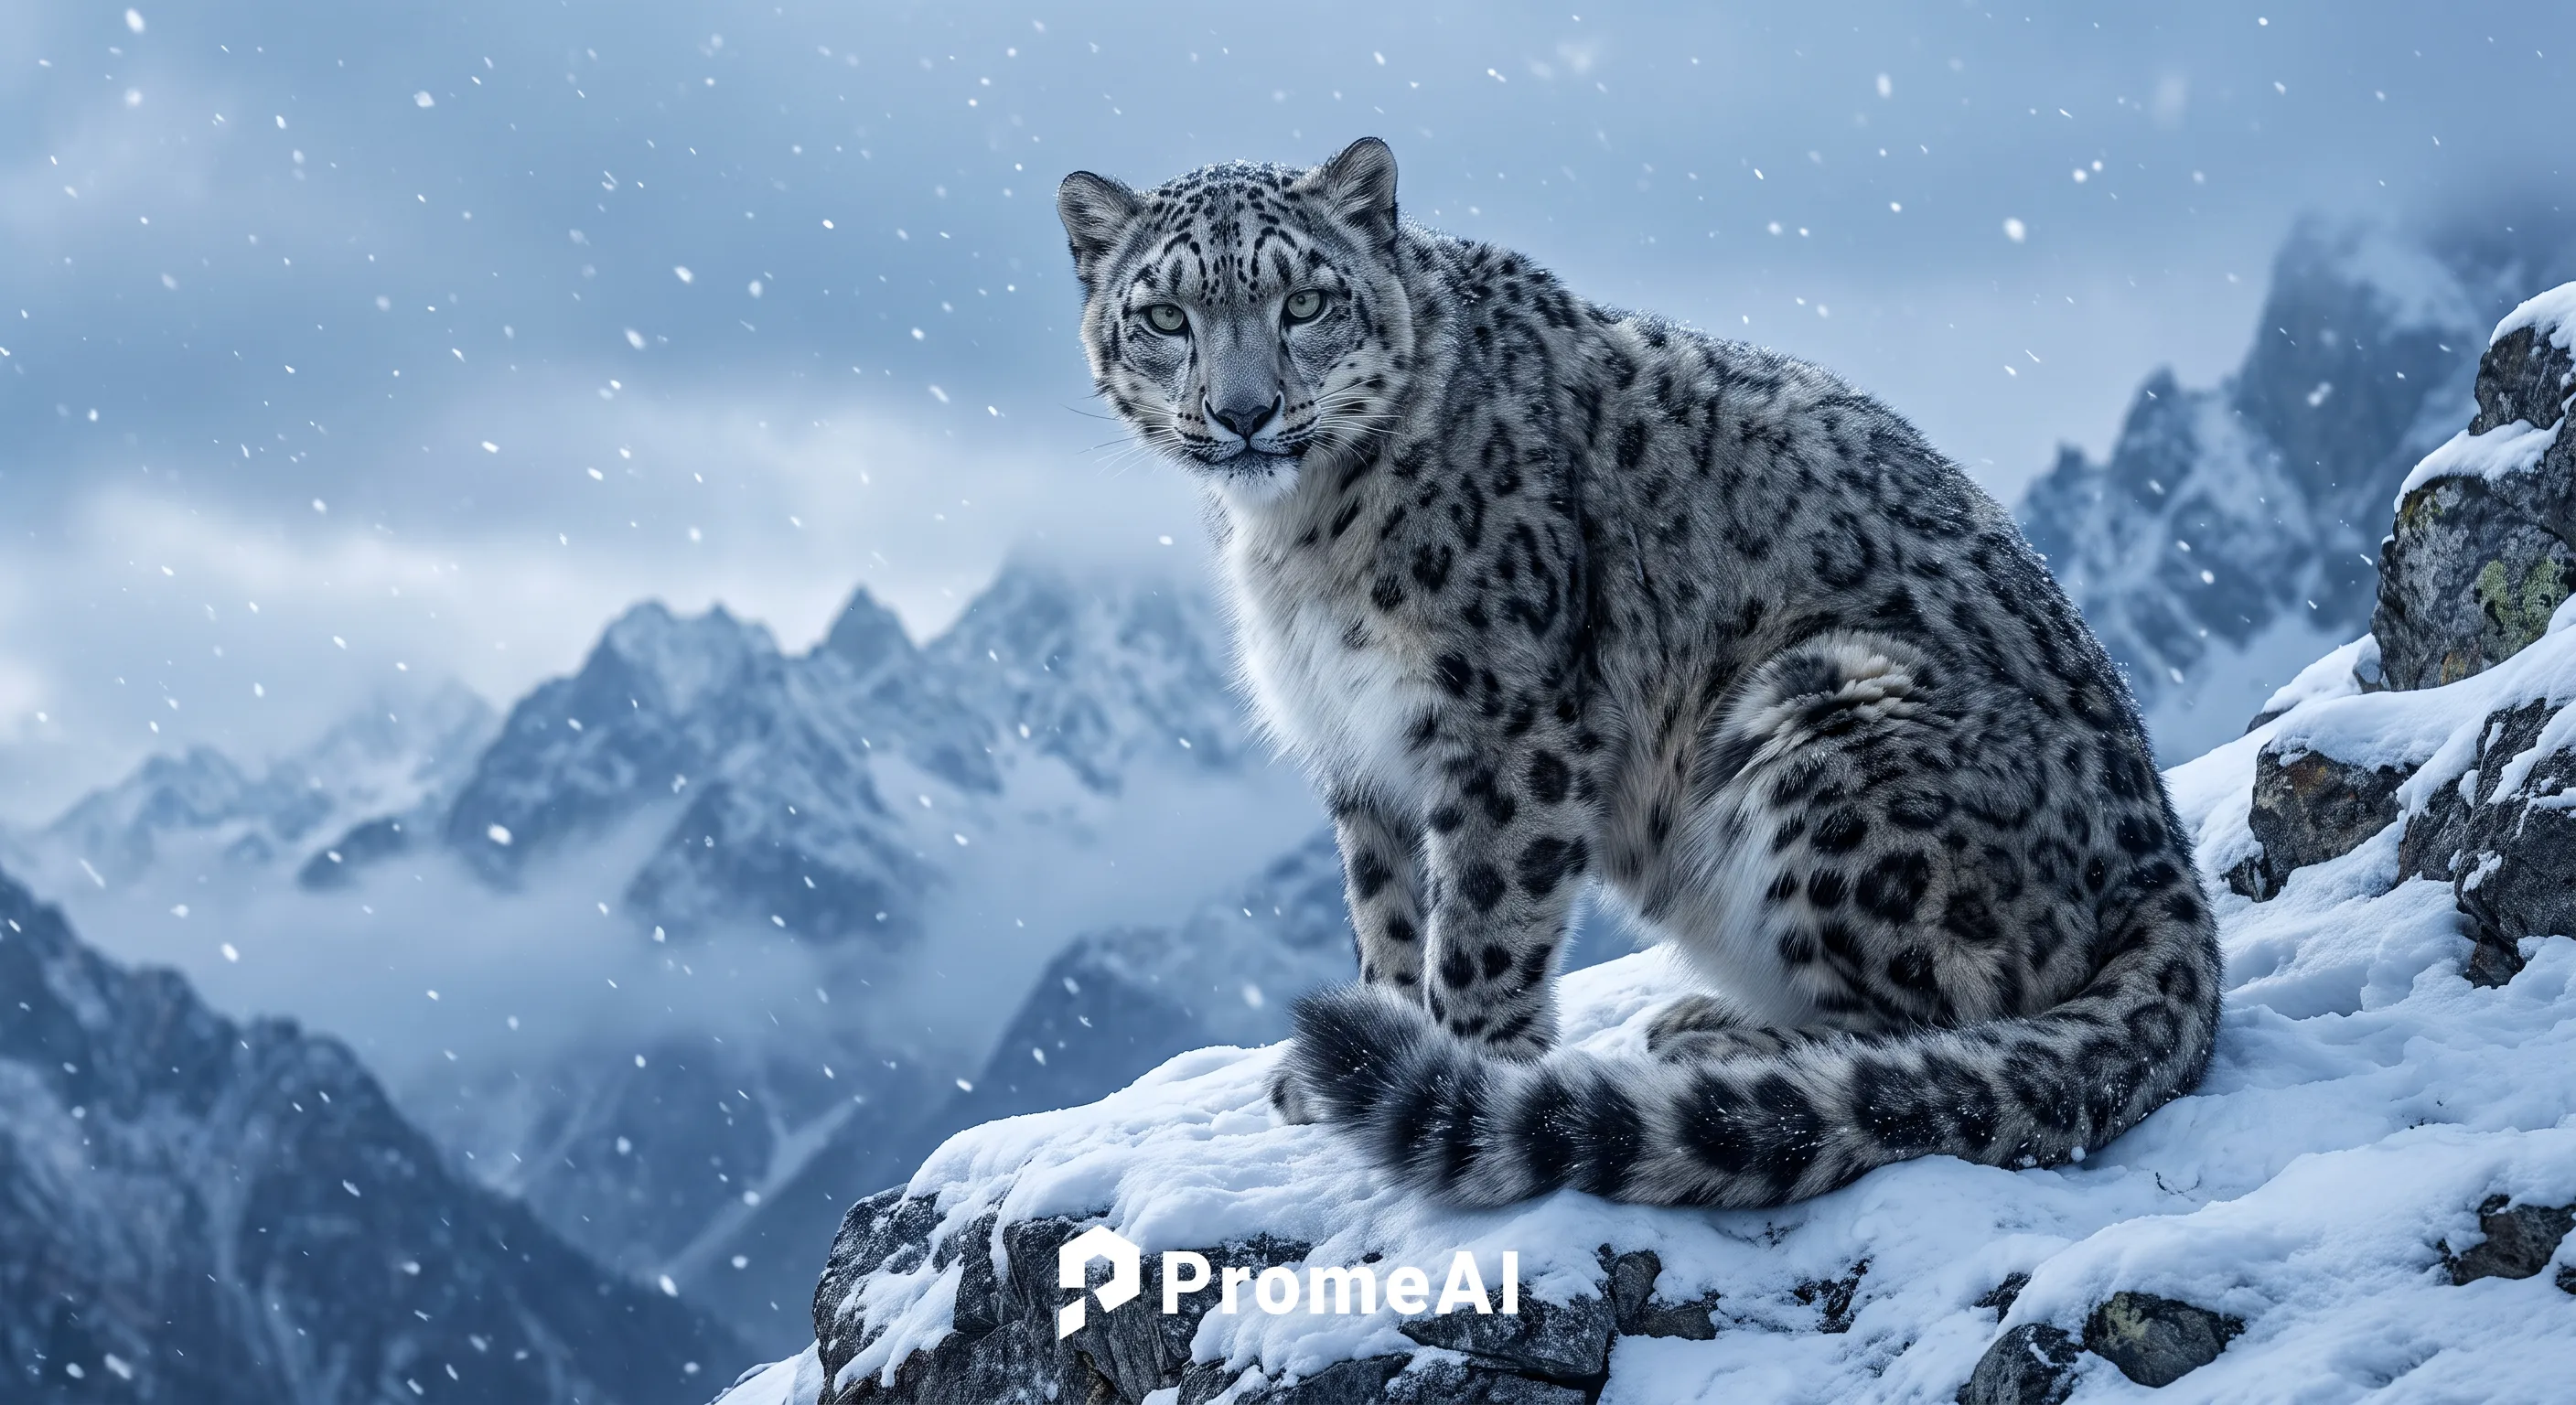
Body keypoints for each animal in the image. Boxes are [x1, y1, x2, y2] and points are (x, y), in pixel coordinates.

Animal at [1054, 137, 2222, 1207]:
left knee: (1953, 1016)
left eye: (1302, 302)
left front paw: (1464, 1075)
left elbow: (1481, 923)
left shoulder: (1504, 723)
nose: (1243, 412)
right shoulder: (1354, 744)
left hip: (1820, 702)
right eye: (1166, 317)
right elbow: (1383, 911)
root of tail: (2169, 866)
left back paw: (1725, 1044)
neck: (1293, 541)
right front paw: (1363, 1039)